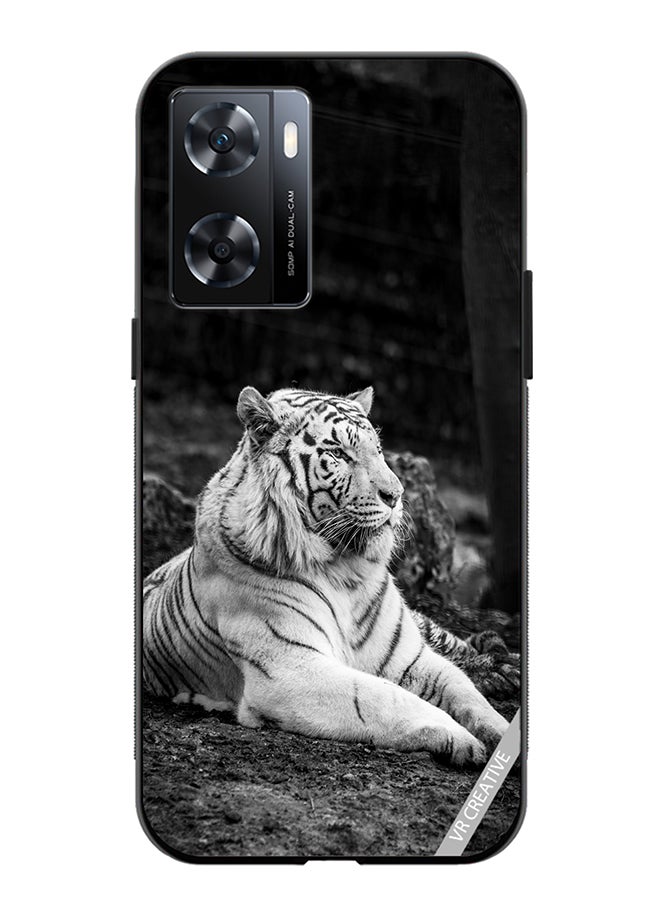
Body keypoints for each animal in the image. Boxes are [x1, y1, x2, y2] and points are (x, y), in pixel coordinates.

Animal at [142, 386, 510, 767]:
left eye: (378, 451)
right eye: (338, 453)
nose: (396, 496)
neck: (346, 571)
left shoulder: (408, 657)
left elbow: (463, 689)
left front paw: (501, 731)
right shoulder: (290, 669)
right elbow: (384, 696)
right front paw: (461, 738)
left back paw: (500, 667)